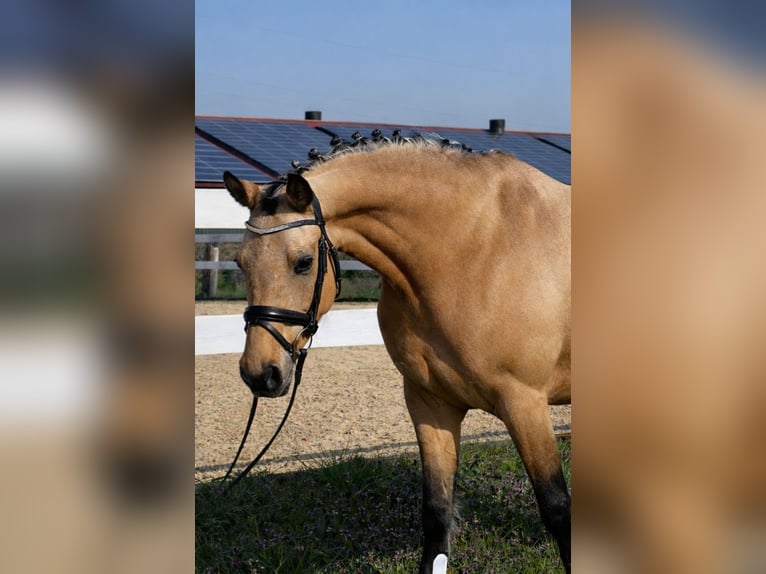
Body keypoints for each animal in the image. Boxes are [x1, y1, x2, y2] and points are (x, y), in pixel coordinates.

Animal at [223, 137, 571, 573]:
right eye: (240, 262)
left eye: (303, 263)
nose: (259, 373)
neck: (473, 251)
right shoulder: (430, 404)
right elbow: (437, 515)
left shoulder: (524, 403)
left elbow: (558, 510)